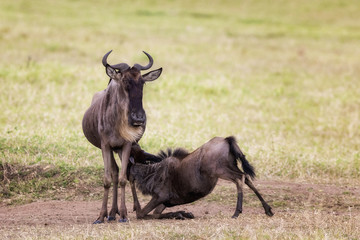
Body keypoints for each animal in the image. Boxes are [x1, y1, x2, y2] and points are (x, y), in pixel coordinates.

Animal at [128, 136, 274, 218]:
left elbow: (141, 214)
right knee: (247, 177)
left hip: (221, 171)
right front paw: (183, 214)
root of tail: (226, 140)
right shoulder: (165, 202)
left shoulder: (160, 197)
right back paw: (267, 209)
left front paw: (182, 214)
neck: (151, 172)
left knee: (240, 178)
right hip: (231, 166)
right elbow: (156, 214)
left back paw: (237, 212)